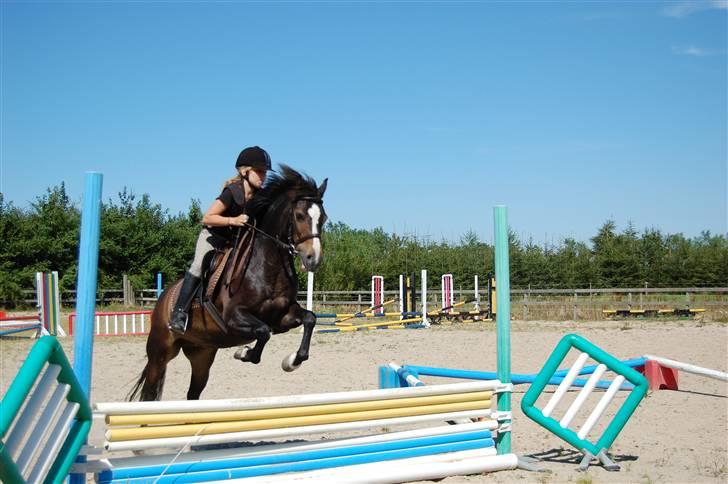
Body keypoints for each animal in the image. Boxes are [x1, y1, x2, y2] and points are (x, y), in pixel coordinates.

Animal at [128, 165, 328, 400]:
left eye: (323, 218)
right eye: (299, 216)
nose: (313, 259)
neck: (266, 266)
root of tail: (163, 299)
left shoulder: (281, 316)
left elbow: (309, 319)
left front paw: (292, 361)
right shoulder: (234, 317)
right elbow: (263, 332)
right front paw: (244, 352)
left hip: (202, 354)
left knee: (193, 393)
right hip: (159, 352)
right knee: (150, 390)